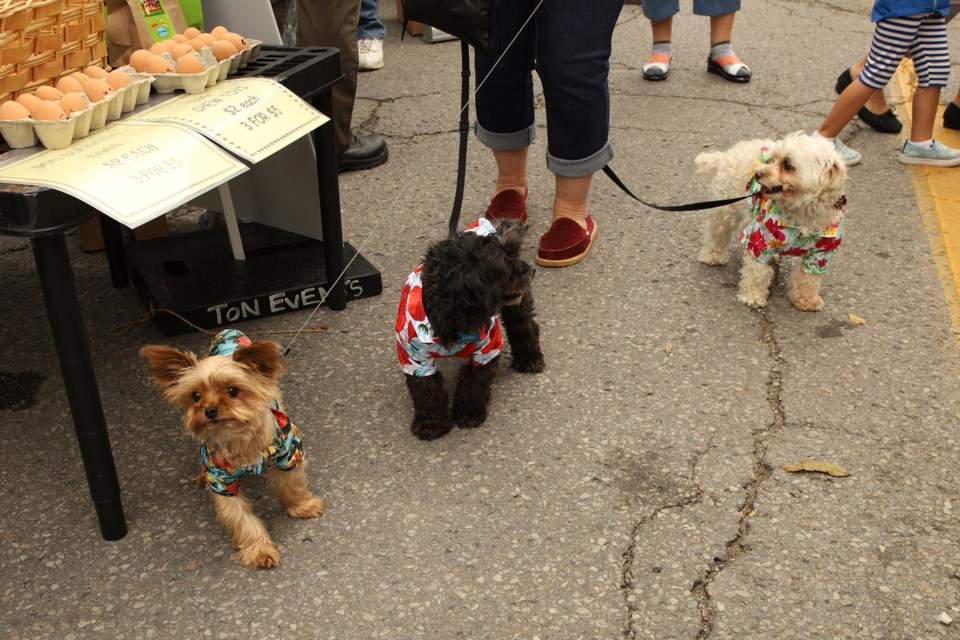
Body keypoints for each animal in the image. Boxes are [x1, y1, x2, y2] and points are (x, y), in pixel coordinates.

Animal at [696, 131, 848, 312]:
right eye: (772, 159)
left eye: (787, 164)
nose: (757, 174)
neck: (803, 213)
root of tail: (726, 154)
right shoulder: (761, 239)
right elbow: (757, 271)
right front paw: (753, 296)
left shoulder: (821, 254)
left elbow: (809, 279)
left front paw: (807, 300)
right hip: (724, 211)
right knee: (716, 234)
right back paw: (713, 255)